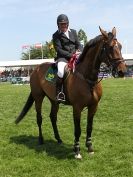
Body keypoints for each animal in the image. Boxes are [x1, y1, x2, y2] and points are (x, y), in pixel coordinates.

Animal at [15, 27, 126, 160]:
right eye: (110, 47)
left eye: (120, 46)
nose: (122, 71)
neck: (87, 78)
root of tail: (36, 69)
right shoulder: (77, 108)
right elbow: (77, 129)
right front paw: (77, 151)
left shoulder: (93, 106)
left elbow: (89, 127)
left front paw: (90, 147)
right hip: (38, 97)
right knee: (39, 118)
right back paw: (41, 140)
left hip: (54, 101)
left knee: (53, 117)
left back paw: (58, 139)